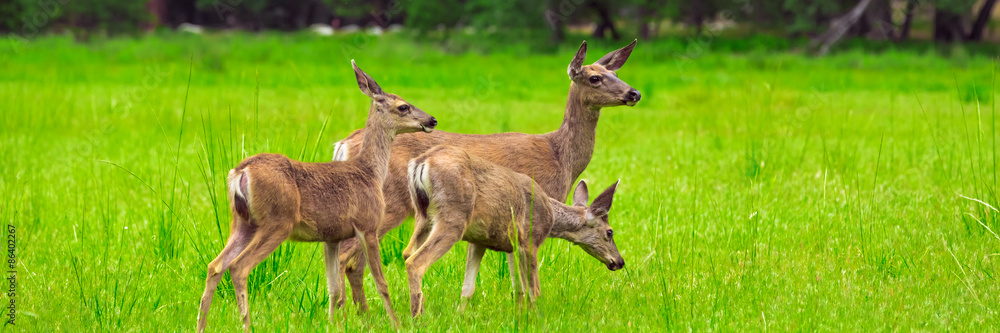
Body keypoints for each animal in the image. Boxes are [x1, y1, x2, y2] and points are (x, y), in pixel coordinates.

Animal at [195, 60, 434, 332]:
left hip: (242, 222)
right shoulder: (368, 224)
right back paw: (246, 324)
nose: (432, 120)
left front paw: (332, 323)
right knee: (238, 267)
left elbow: (333, 288)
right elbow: (380, 282)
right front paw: (396, 323)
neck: (370, 171)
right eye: (403, 106)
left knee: (215, 265)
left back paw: (201, 325)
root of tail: (240, 172)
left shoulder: (330, 237)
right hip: (277, 222)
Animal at [400, 146, 620, 316]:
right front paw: (536, 319)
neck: (550, 216)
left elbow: (479, 288)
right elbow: (534, 290)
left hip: (424, 217)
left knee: (407, 252)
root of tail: (421, 162)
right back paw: (418, 317)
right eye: (610, 232)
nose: (620, 262)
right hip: (453, 219)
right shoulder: (529, 239)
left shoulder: (487, 242)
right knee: (416, 262)